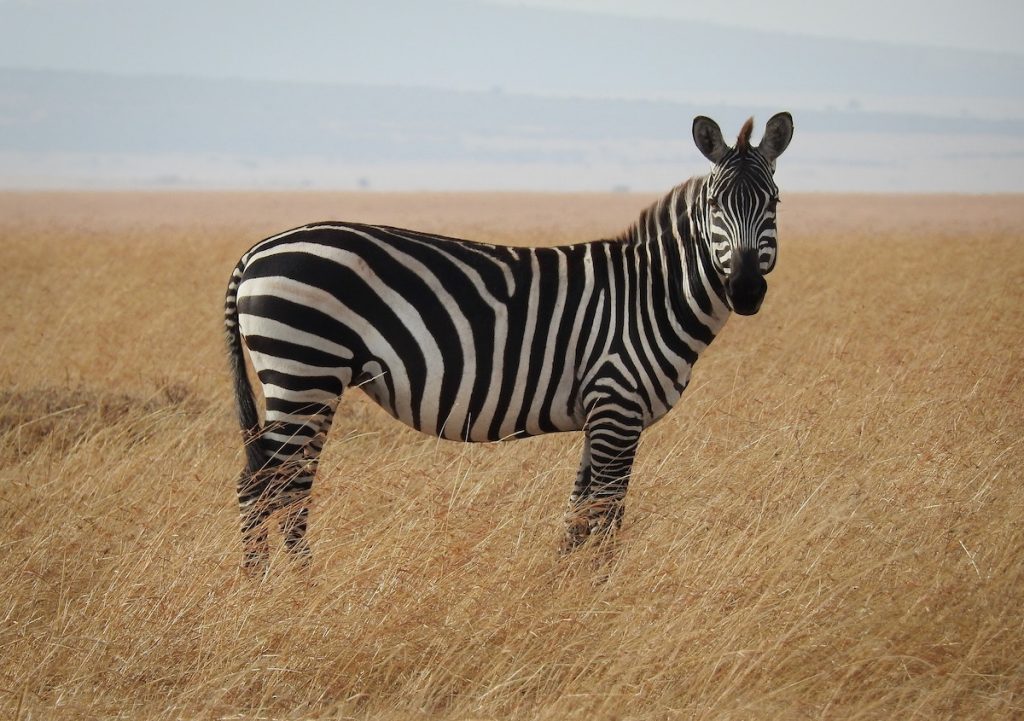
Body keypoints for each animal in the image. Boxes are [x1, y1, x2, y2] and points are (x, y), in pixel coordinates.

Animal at [228, 112, 794, 569]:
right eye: (716, 204)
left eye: (774, 203)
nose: (746, 290)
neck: (651, 294)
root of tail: (258, 249)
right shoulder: (618, 404)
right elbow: (607, 514)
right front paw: (602, 594)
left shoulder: (600, 413)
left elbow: (578, 514)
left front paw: (561, 589)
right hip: (305, 371)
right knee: (272, 488)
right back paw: (289, 588)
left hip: (306, 381)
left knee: (273, 484)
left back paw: (267, 585)